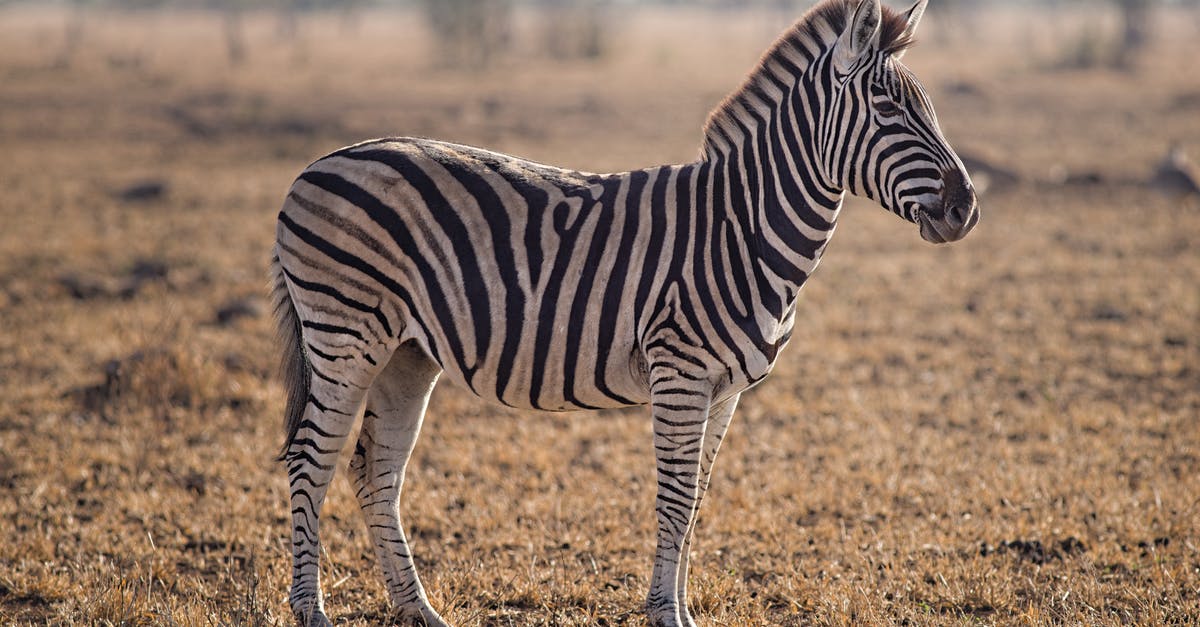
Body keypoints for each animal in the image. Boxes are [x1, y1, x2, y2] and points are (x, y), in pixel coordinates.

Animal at [276, 1, 979, 624]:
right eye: (888, 109)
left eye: (928, 107)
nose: (966, 209)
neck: (742, 227)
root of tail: (314, 166)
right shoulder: (681, 371)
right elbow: (674, 499)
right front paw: (667, 615)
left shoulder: (726, 390)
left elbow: (696, 499)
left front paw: (677, 608)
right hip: (345, 334)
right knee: (311, 460)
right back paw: (312, 611)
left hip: (406, 352)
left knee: (375, 469)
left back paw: (417, 610)